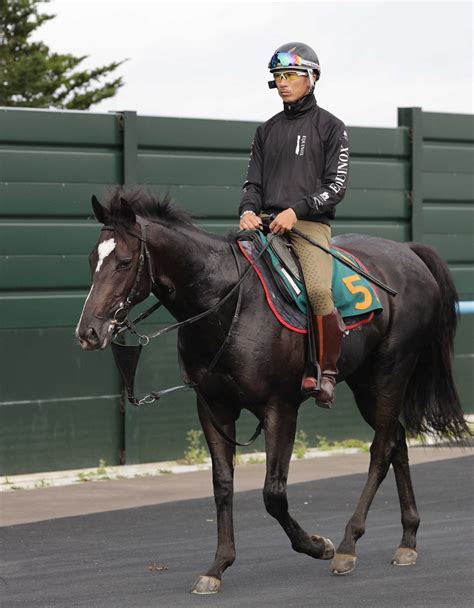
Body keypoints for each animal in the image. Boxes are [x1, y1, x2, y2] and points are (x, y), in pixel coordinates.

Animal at [76, 189, 468, 592]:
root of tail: (408, 252)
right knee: (396, 442)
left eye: (124, 262)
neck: (228, 303)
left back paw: (347, 545)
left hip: (391, 371)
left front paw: (318, 546)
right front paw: (217, 566)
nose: (88, 331)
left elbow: (273, 493)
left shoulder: (280, 407)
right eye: (93, 259)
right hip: (366, 382)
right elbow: (222, 484)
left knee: (380, 451)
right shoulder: (213, 407)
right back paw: (407, 539)